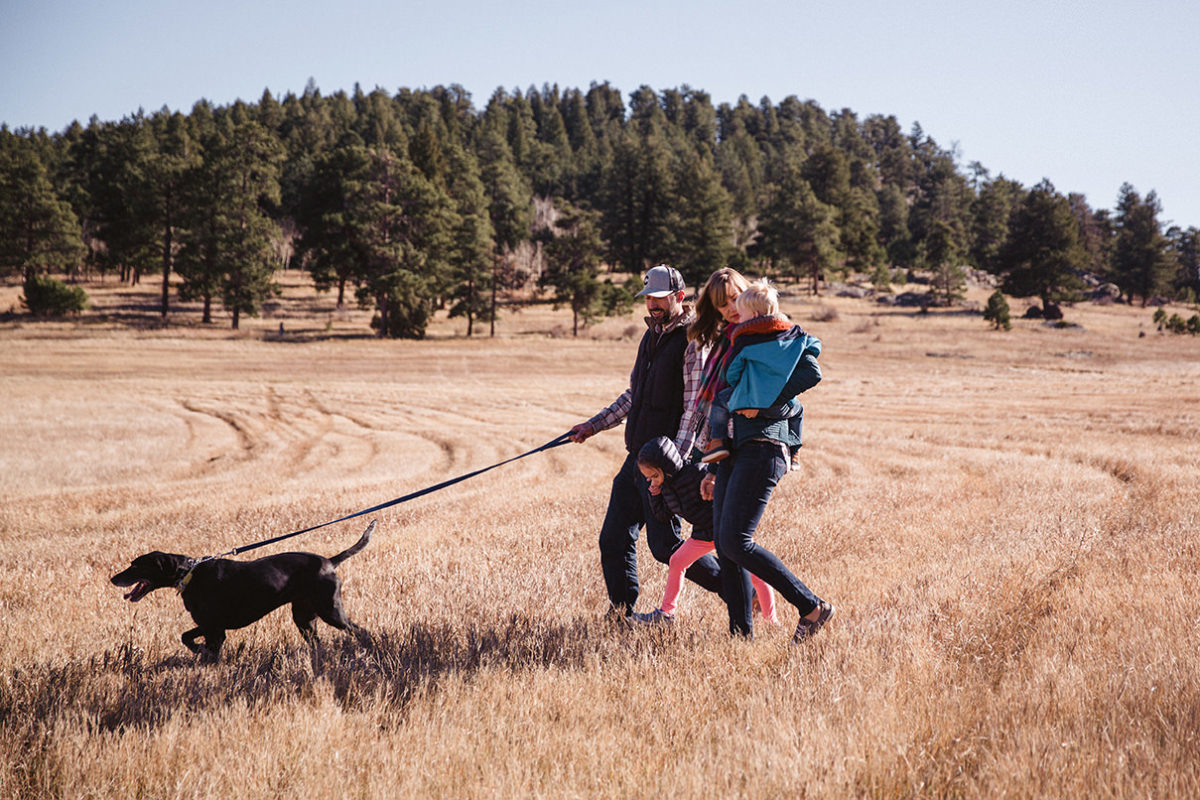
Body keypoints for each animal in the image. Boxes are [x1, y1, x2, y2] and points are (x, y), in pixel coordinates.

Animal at [113, 522, 374, 662]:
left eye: (135, 566)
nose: (113, 578)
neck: (189, 573)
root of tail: (329, 562)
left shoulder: (215, 631)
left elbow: (205, 651)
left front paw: (202, 658)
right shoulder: (210, 624)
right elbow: (185, 636)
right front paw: (198, 651)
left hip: (330, 610)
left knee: (362, 632)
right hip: (304, 617)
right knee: (318, 643)